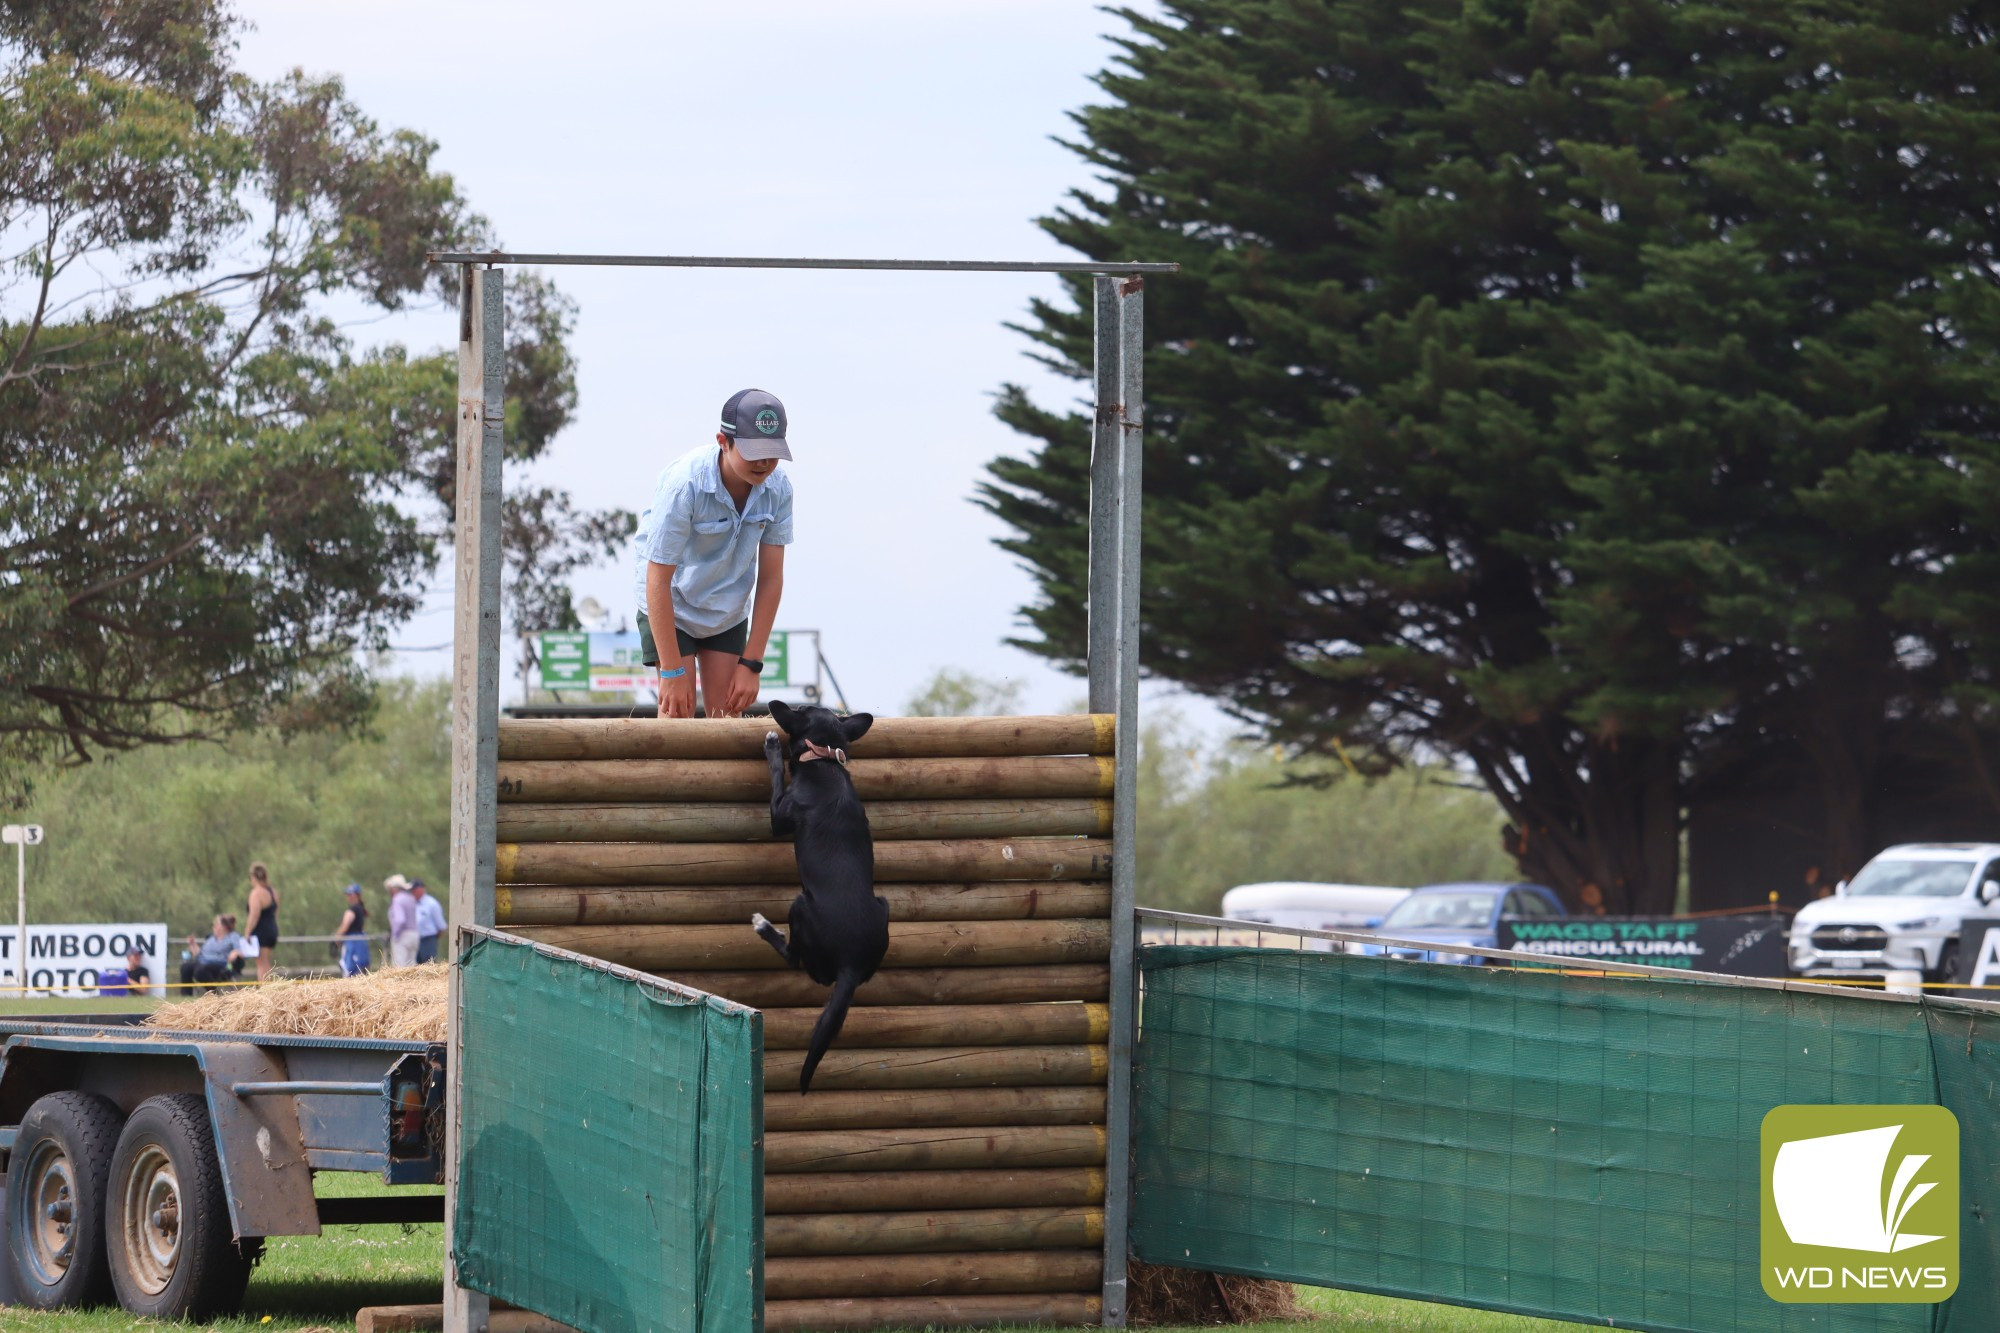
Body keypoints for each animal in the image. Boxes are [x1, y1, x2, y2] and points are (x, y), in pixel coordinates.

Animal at [752, 700, 888, 1088]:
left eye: (801, 708)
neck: (824, 760)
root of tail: (851, 965)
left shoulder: (778, 817)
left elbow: (776, 777)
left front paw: (772, 747)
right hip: (884, 905)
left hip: (800, 905)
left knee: (798, 961)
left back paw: (763, 926)